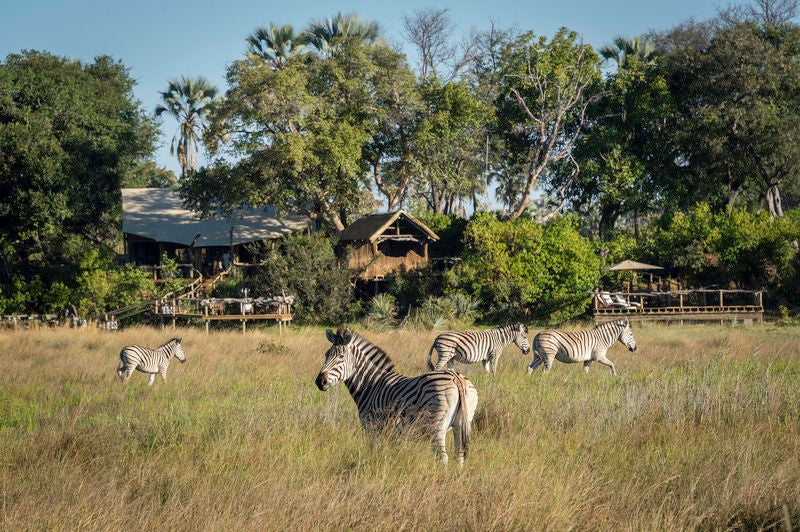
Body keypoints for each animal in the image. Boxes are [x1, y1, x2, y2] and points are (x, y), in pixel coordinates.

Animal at [316, 326, 478, 464]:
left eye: (341, 356)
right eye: (326, 355)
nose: (319, 381)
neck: (370, 384)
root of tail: (456, 378)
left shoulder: (372, 428)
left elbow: (374, 452)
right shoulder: (392, 432)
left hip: (436, 426)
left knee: (443, 458)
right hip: (462, 423)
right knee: (459, 455)